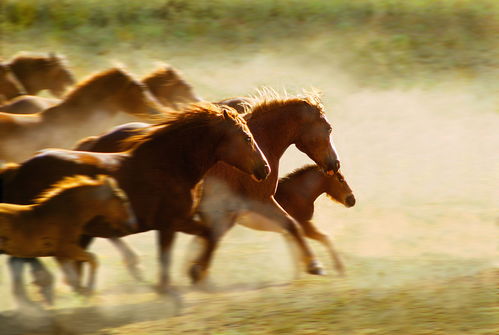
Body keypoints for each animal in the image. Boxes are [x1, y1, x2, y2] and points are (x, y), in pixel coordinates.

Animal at [0, 175, 137, 308]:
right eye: (123, 199)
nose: (133, 224)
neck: (64, 213)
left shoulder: (60, 255)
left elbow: (72, 277)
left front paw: (82, 293)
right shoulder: (67, 249)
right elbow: (92, 259)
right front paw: (88, 291)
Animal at [66, 93, 342, 284]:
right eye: (328, 128)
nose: (334, 163)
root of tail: (93, 143)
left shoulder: (238, 208)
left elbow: (287, 226)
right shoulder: (252, 203)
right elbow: (290, 225)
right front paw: (314, 265)